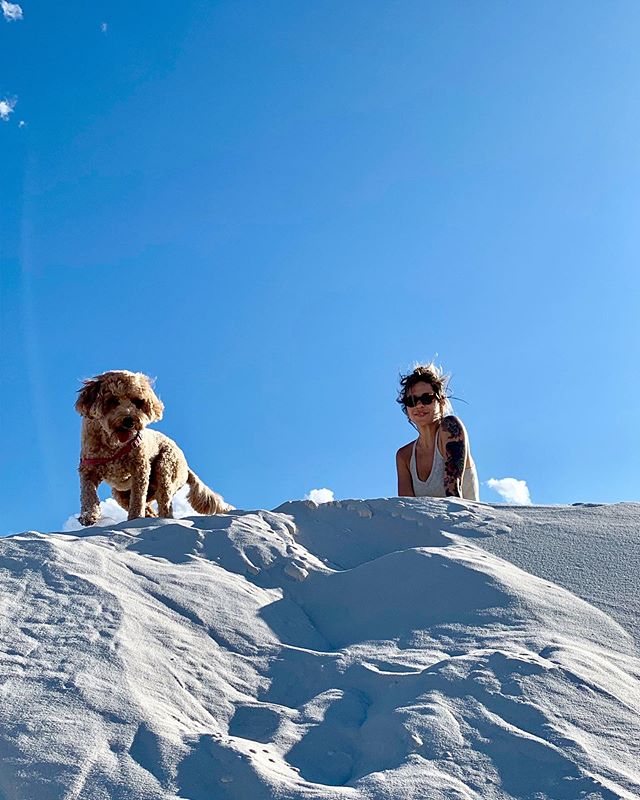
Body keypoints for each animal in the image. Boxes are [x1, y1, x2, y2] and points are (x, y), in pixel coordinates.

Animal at [77, 372, 232, 528]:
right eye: (112, 400)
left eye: (137, 401)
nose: (129, 420)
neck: (112, 446)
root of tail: (186, 466)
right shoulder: (88, 469)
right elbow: (88, 494)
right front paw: (89, 516)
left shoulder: (140, 468)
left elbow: (138, 497)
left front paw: (135, 518)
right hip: (120, 493)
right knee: (147, 507)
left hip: (165, 468)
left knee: (165, 504)